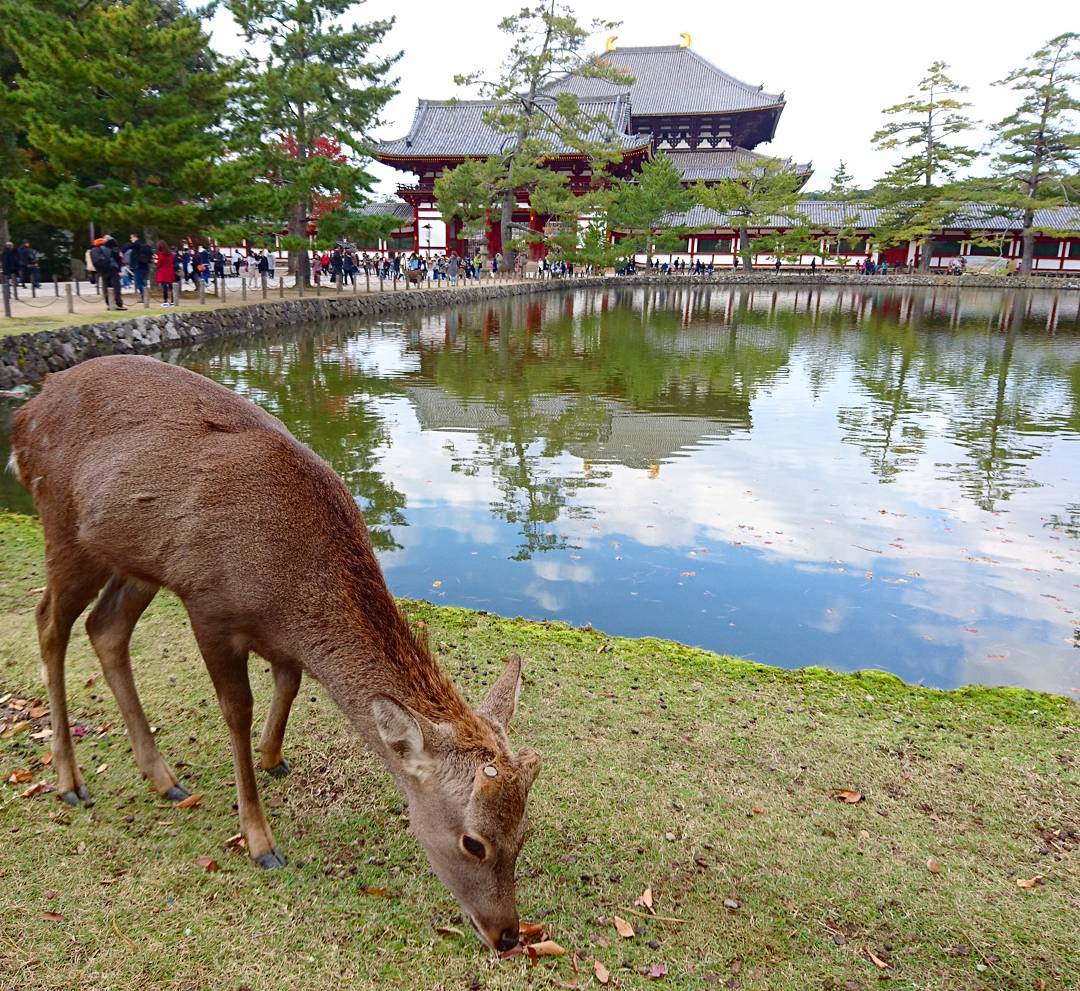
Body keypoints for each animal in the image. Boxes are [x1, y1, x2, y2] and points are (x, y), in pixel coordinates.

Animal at [9, 354, 540, 952]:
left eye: (524, 830)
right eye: (474, 842)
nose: (507, 934)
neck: (291, 594)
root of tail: (24, 417)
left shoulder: (277, 638)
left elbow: (289, 680)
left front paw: (273, 756)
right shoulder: (209, 606)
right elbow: (236, 711)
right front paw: (261, 841)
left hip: (136, 559)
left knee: (106, 628)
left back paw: (163, 778)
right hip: (64, 527)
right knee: (49, 623)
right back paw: (70, 782)